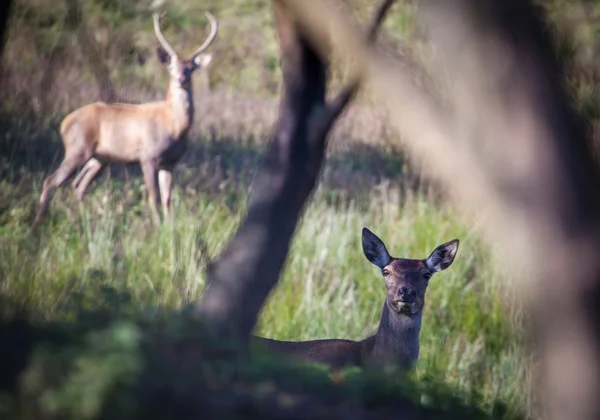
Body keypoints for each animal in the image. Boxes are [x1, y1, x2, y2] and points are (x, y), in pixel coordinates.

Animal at [31, 10, 219, 226]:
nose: (181, 79)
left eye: (190, 68)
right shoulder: (147, 156)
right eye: (171, 68)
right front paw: (157, 227)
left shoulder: (170, 162)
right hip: (77, 149)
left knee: (79, 185)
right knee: (51, 180)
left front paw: (170, 227)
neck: (173, 126)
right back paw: (38, 223)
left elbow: (167, 198)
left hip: (100, 158)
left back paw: (84, 222)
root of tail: (64, 123)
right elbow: (153, 196)